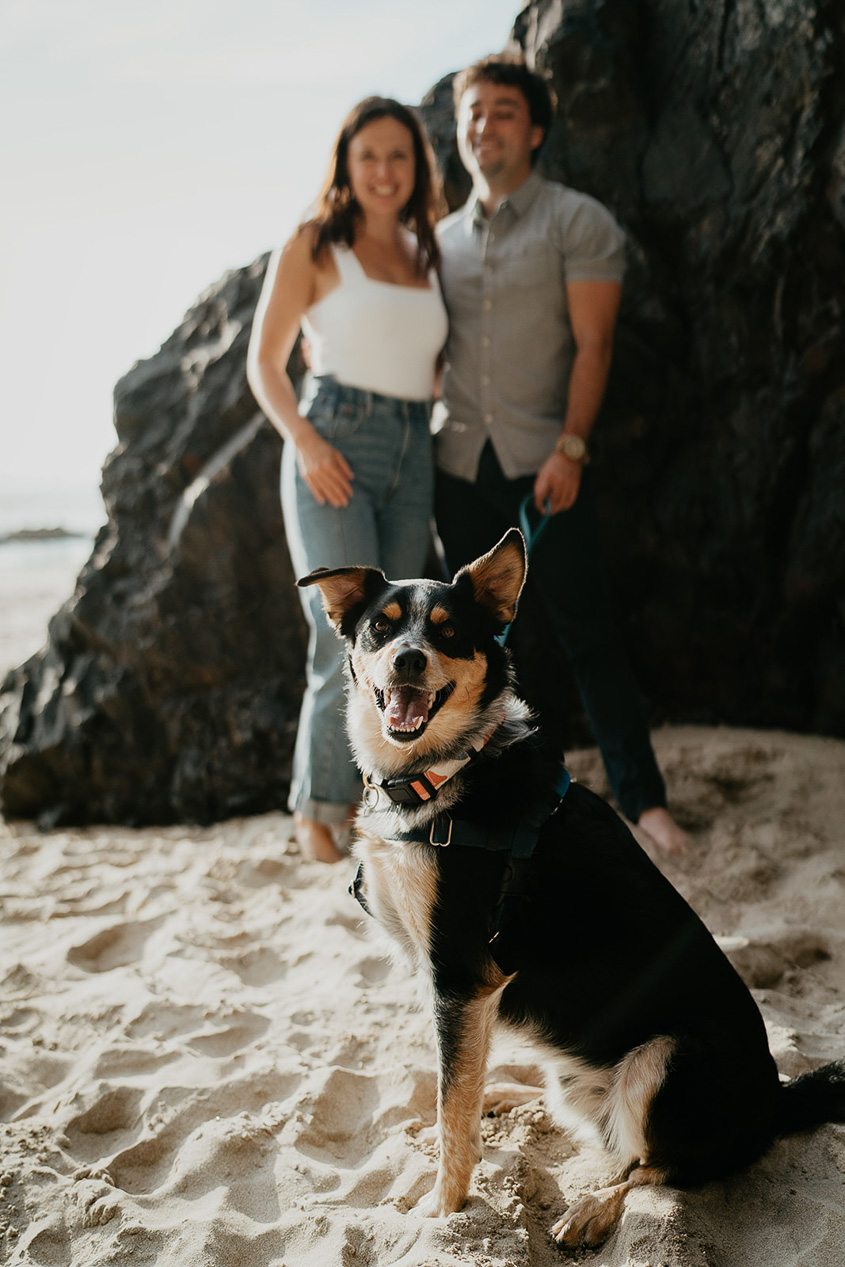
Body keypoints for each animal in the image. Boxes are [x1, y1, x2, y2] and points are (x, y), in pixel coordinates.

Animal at [298, 527, 845, 1246]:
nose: (408, 659)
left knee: (659, 1165)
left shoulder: (460, 975)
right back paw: (512, 1095)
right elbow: (457, 1091)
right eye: (379, 629)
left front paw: (443, 1210)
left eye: (448, 633)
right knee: (587, 1118)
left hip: (663, 1057)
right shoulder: (463, 991)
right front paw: (473, 1124)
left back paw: (593, 1207)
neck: (443, 773)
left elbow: (452, 1112)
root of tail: (776, 1102)